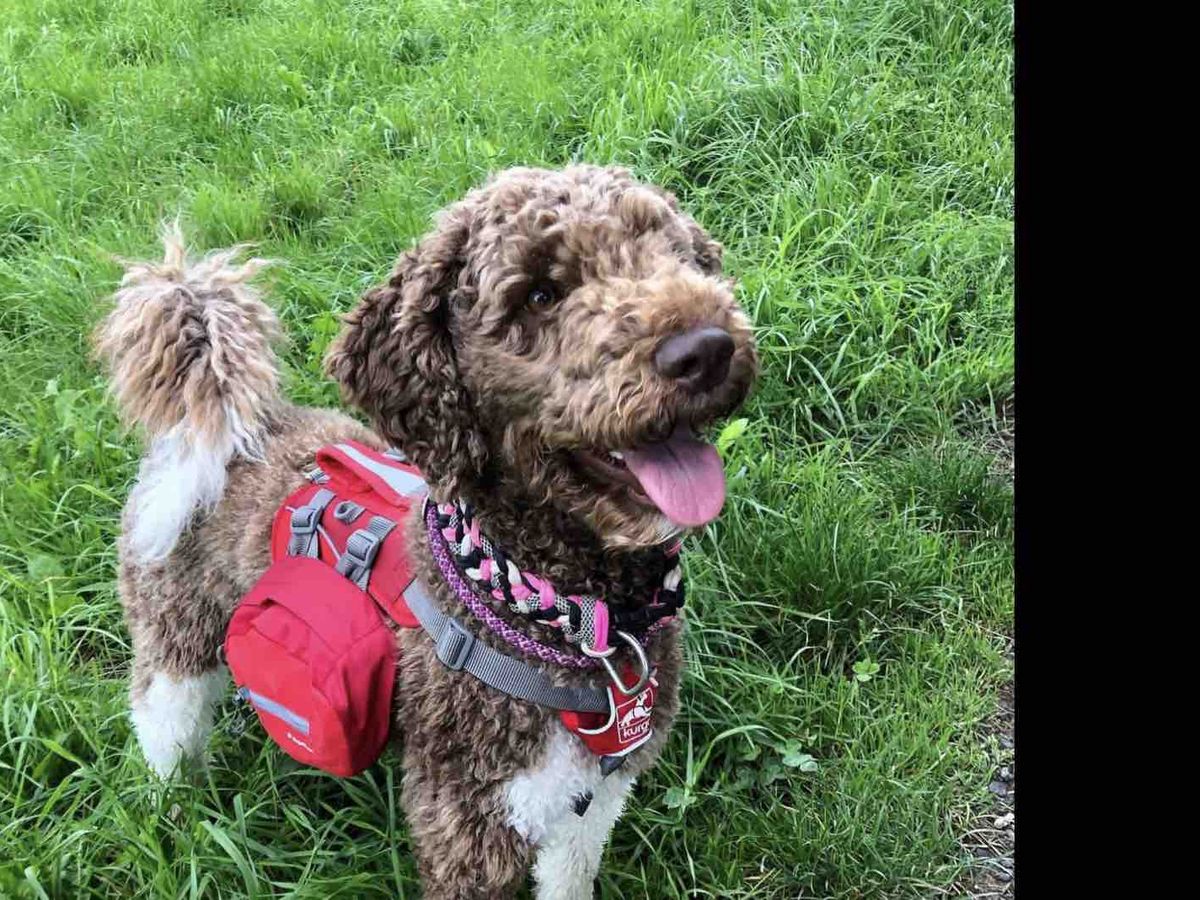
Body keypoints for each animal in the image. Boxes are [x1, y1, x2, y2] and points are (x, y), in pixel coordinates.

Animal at [95, 164, 758, 899]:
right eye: (539, 294)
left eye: (675, 254)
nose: (705, 348)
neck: (567, 614)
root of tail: (219, 428)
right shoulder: (469, 822)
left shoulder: (593, 796)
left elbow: (569, 873)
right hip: (173, 642)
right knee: (162, 731)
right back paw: (177, 821)